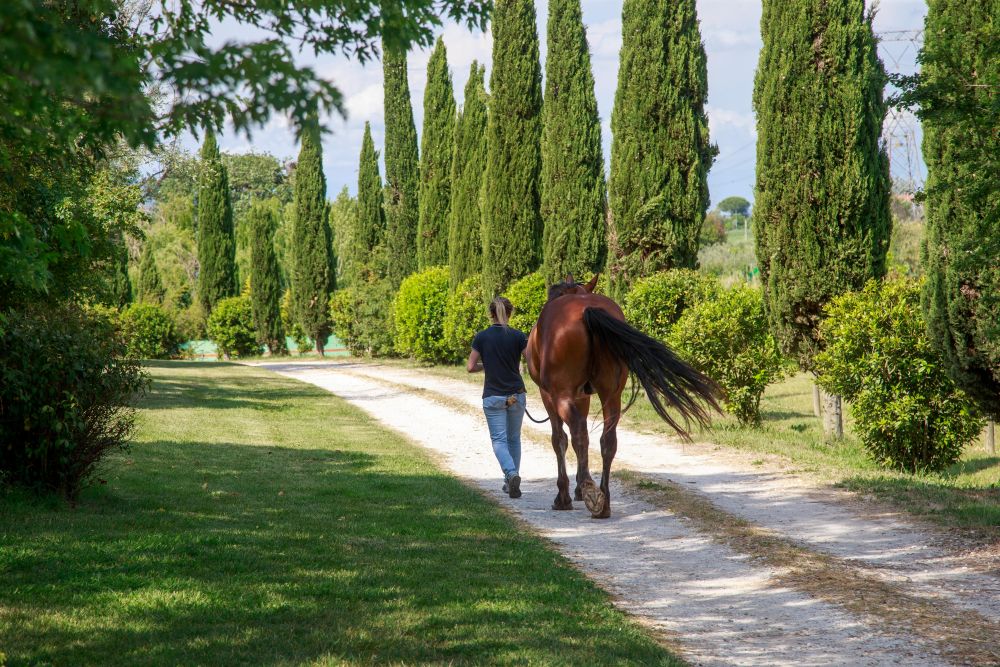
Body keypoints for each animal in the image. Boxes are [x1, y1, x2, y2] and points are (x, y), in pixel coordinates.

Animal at [525, 274, 722, 518]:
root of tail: (587, 310)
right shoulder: (583, 396)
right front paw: (578, 488)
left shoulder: (550, 396)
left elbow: (559, 439)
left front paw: (566, 495)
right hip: (612, 395)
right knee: (607, 441)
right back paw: (603, 502)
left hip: (562, 395)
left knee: (579, 433)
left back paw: (588, 492)